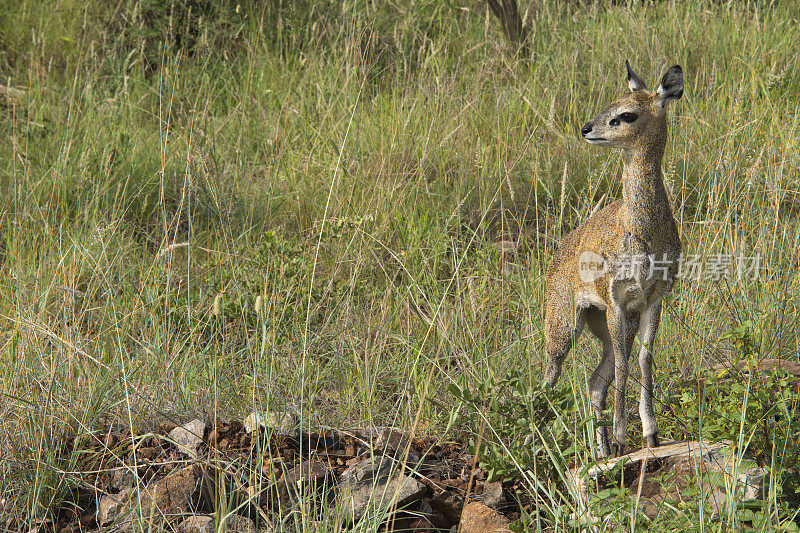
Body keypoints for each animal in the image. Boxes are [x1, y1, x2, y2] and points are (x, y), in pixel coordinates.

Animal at [548, 61, 684, 454]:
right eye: (612, 103)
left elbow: (644, 360)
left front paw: (650, 432)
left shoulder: (653, 301)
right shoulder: (618, 303)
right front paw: (624, 435)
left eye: (627, 114)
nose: (586, 129)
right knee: (550, 376)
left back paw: (602, 452)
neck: (643, 231)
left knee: (595, 381)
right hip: (565, 326)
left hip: (604, 326)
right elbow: (625, 367)